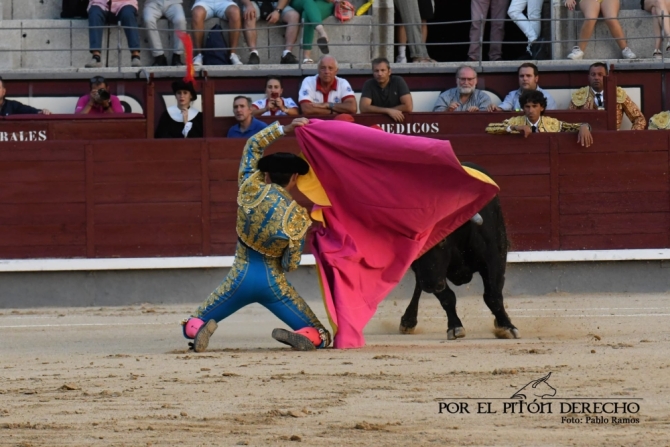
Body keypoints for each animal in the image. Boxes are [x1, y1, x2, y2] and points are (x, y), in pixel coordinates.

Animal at [402, 163, 524, 342]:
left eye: (443, 239)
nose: (431, 285)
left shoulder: (493, 259)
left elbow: (493, 295)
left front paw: (507, 327)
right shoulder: (427, 270)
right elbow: (447, 297)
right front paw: (455, 327)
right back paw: (408, 321)